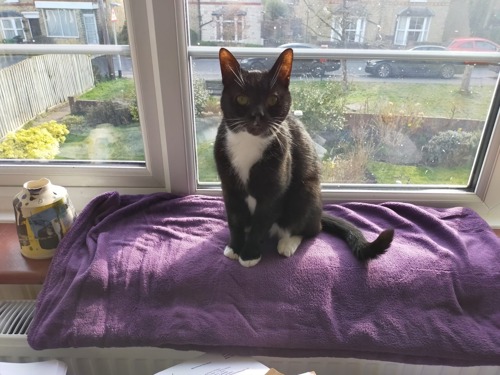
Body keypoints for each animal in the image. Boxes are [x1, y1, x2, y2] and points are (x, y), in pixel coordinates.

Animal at [213, 47, 392, 268]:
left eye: (273, 99)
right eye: (242, 99)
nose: (257, 115)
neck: (248, 143)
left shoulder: (274, 189)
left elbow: (261, 222)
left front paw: (249, 254)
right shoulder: (229, 186)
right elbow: (234, 218)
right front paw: (235, 246)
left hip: (305, 191)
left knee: (311, 229)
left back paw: (288, 242)